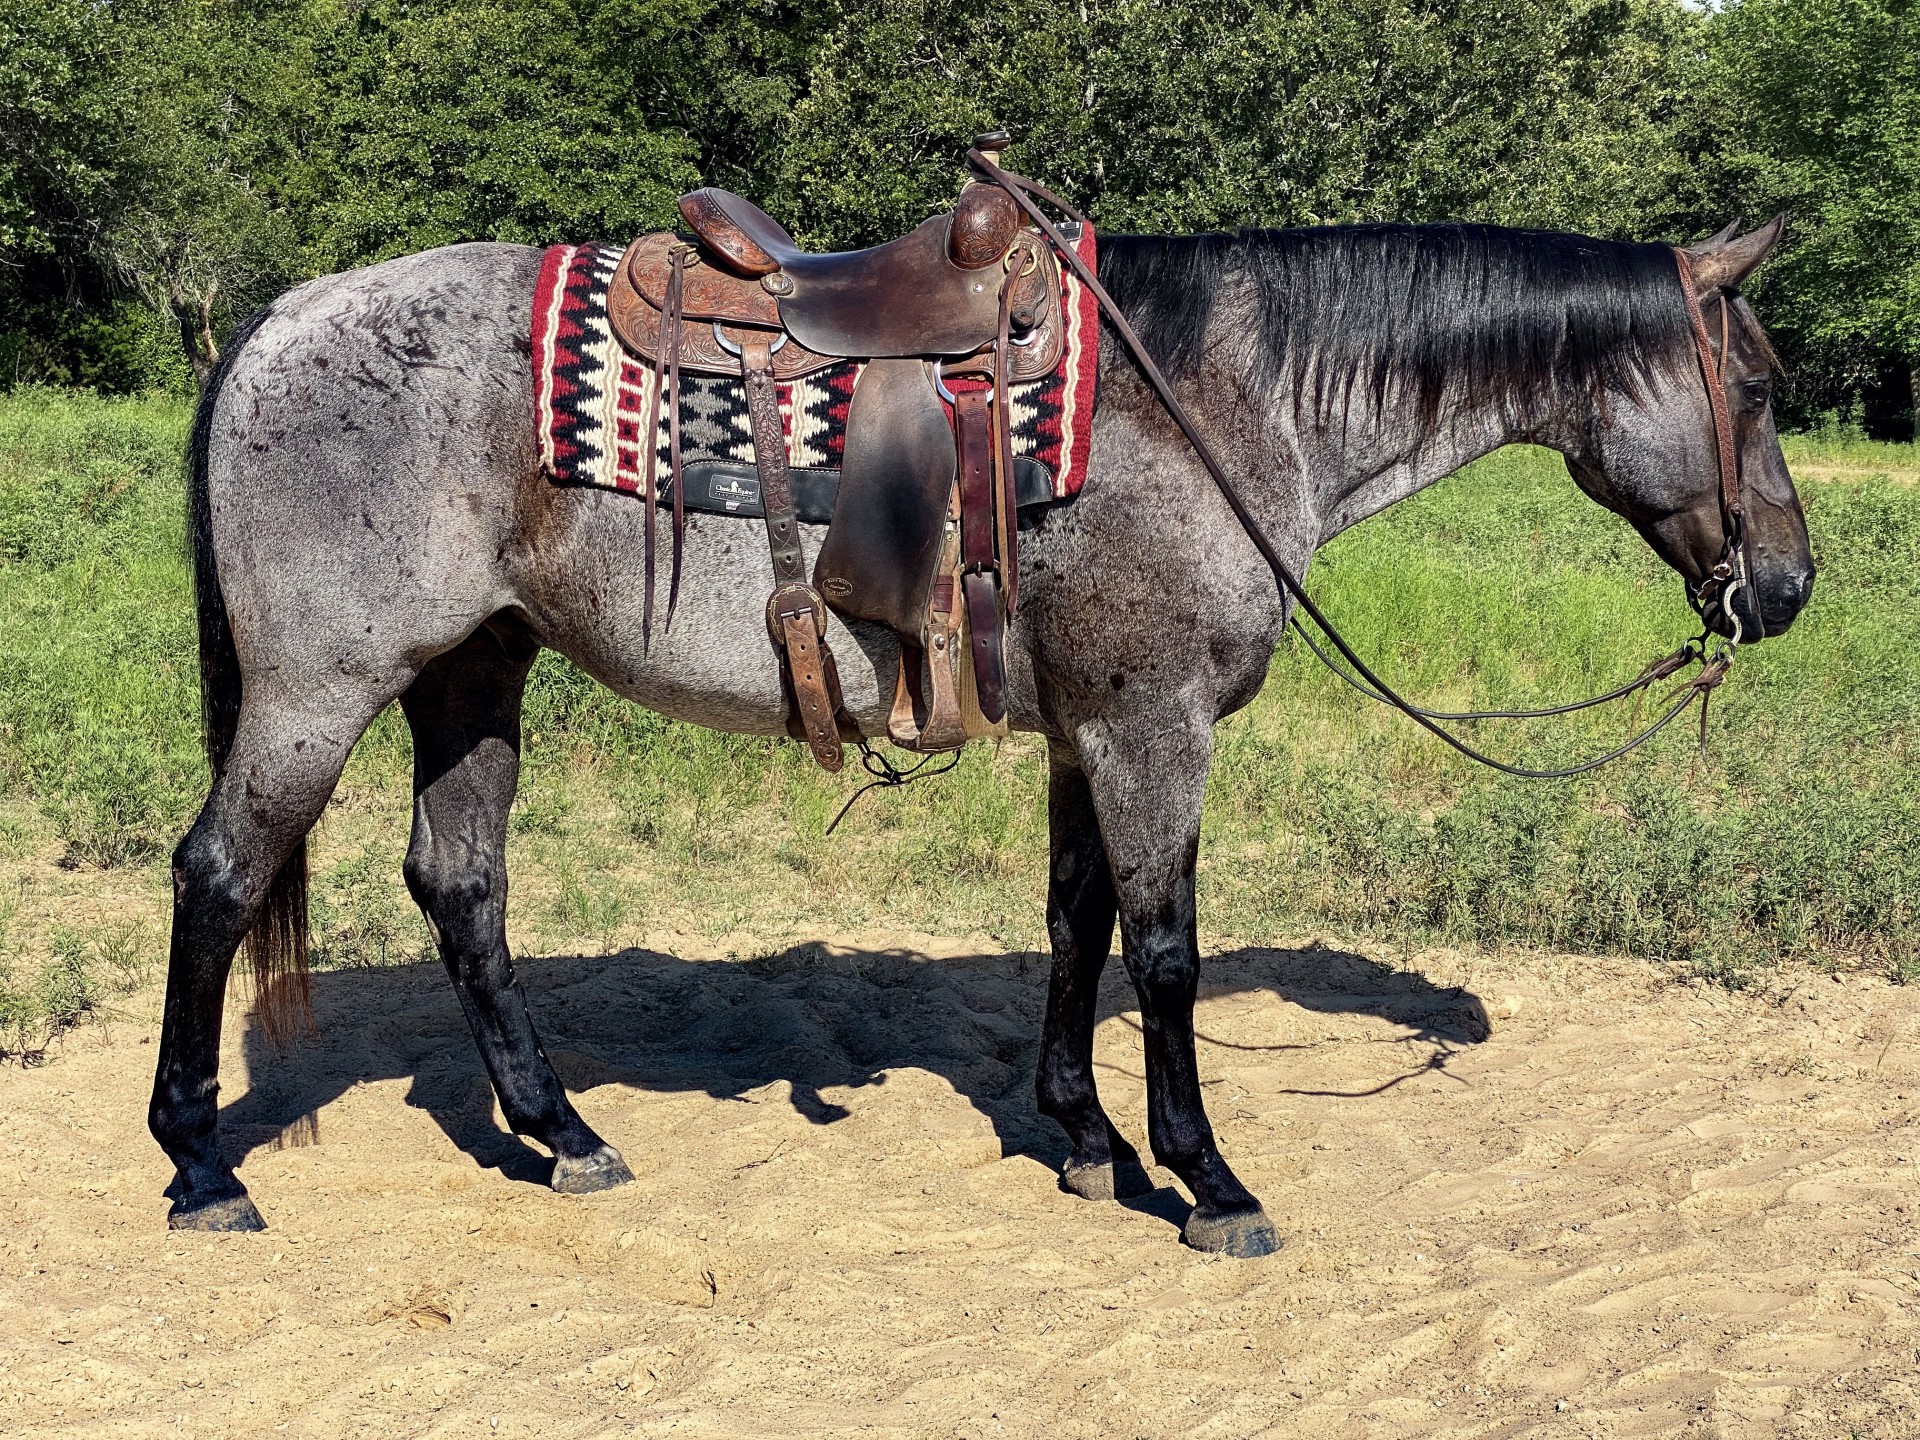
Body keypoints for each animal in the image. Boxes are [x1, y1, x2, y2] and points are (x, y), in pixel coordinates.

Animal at [153, 216, 1812, 1259]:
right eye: (1762, 384)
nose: (1787, 588)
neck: (1216, 401)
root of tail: (279, 320)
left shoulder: (1092, 731)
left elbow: (1078, 922)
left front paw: (1084, 1139)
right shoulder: (1155, 728)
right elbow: (1165, 952)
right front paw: (1206, 1179)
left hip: (472, 672)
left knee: (461, 885)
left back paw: (558, 1132)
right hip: (319, 689)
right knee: (219, 877)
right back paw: (199, 1165)